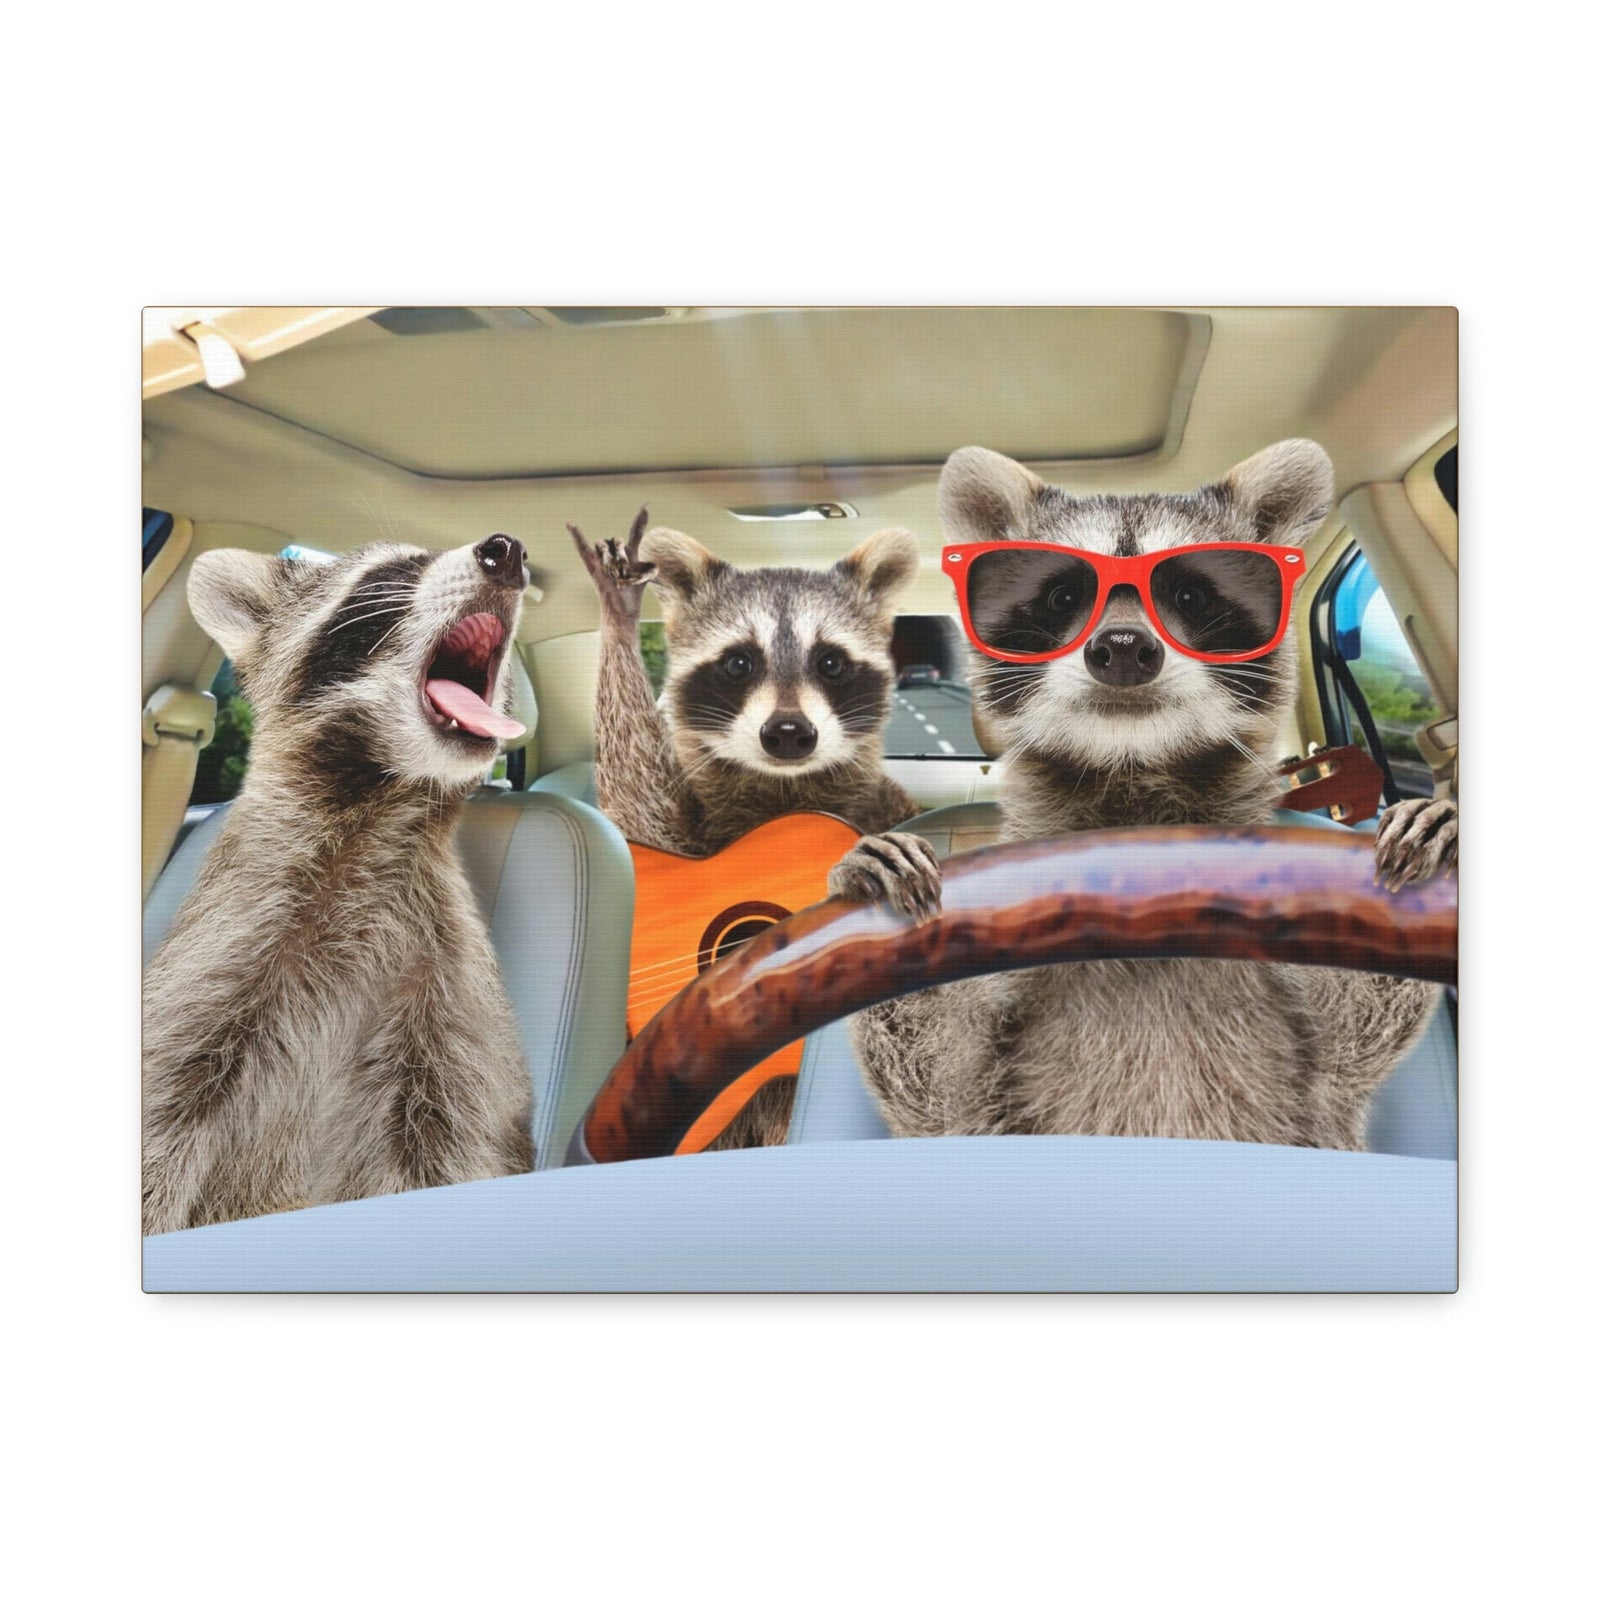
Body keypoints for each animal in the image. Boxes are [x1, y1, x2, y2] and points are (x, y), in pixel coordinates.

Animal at [142, 535, 535, 1234]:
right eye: (393, 572)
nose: (507, 550)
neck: (380, 796)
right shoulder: (226, 945)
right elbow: (158, 1117)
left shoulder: (447, 1001)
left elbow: (452, 1143)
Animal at [568, 508, 925, 1146]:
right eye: (739, 662)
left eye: (830, 662)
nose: (788, 733)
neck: (783, 787)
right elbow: (641, 809)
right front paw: (619, 611)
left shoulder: (891, 807)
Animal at [832, 441, 1458, 1150]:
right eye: (1062, 595)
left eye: (1188, 593)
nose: (1125, 649)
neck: (1133, 777)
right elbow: (940, 1084)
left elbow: (1352, 1035)